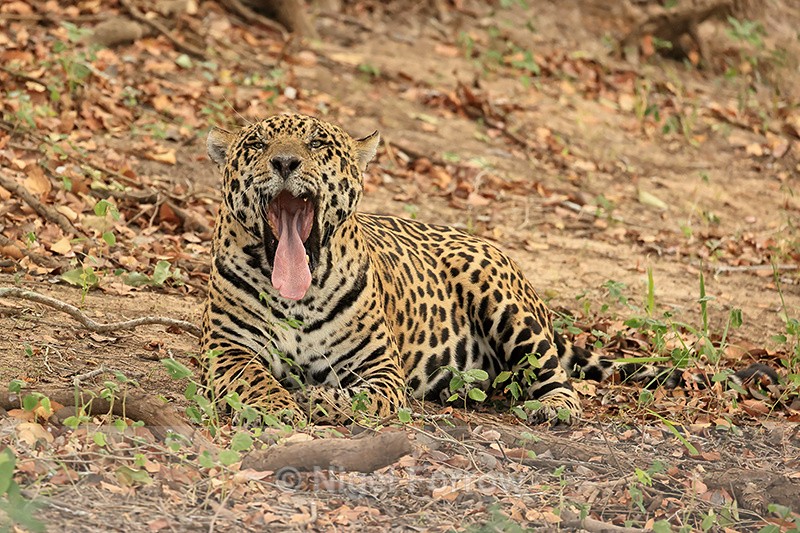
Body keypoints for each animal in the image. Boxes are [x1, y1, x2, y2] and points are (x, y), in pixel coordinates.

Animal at [201, 113, 777, 426]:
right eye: (256, 145)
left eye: (318, 144)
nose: (285, 163)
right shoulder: (227, 348)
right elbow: (254, 379)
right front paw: (279, 404)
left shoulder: (379, 364)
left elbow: (371, 394)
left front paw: (331, 402)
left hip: (502, 301)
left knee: (555, 375)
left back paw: (553, 408)